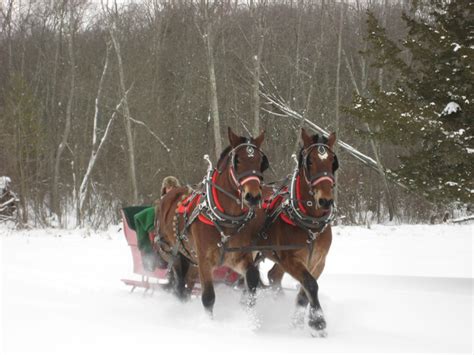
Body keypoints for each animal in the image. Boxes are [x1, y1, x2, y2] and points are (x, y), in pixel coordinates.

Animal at [158, 128, 268, 318]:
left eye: (260, 161)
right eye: (237, 160)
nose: (253, 197)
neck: (224, 218)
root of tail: (168, 195)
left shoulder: (237, 257)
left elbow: (252, 278)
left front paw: (250, 316)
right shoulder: (204, 260)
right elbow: (208, 298)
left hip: (191, 261)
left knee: (186, 285)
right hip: (174, 254)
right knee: (179, 286)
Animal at [260, 129, 336, 336]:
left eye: (332, 161)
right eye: (310, 162)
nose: (326, 201)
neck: (310, 225)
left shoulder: (318, 261)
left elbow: (305, 289)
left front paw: (298, 322)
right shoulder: (291, 259)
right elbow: (310, 284)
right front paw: (318, 322)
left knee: (273, 276)